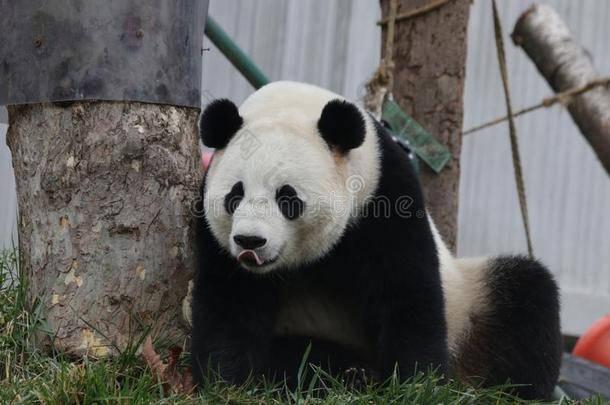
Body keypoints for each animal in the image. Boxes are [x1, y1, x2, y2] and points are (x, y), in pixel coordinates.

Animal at [190, 79, 560, 398]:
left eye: (287, 198)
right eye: (235, 195)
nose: (250, 242)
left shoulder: (385, 195)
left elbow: (406, 290)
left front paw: (415, 384)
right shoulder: (213, 233)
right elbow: (231, 301)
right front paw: (228, 383)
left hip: (469, 304)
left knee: (526, 301)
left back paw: (509, 391)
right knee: (301, 354)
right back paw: (352, 375)